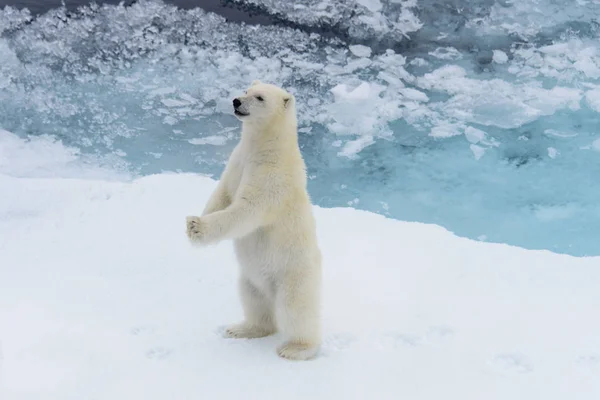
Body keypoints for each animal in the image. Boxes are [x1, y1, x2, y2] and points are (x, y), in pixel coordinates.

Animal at [186, 81, 324, 362]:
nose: (236, 101)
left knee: (296, 309)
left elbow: (245, 211)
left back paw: (296, 348)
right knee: (253, 299)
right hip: (251, 277)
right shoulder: (237, 162)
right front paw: (195, 224)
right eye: (246, 90)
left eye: (259, 98)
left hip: (294, 274)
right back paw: (242, 329)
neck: (262, 148)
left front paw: (197, 227)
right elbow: (222, 194)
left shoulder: (272, 177)